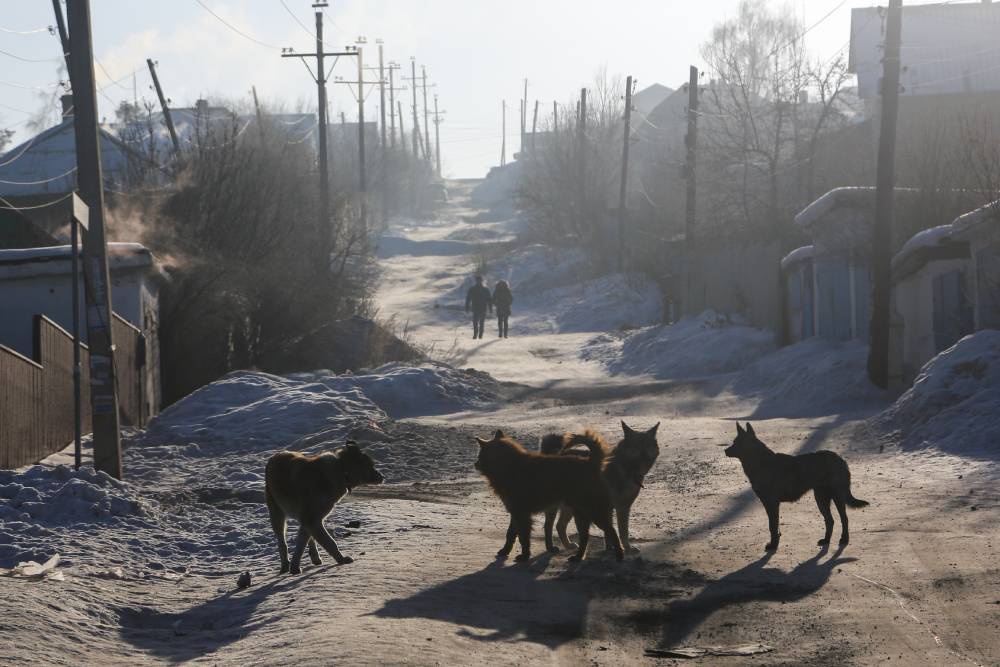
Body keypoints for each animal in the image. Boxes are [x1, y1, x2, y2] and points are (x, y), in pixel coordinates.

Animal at [264, 444, 384, 576]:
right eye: (370, 465)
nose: (383, 477)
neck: (341, 470)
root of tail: (275, 456)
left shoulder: (311, 520)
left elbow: (302, 544)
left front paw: (295, 567)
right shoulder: (311, 519)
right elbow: (330, 542)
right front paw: (342, 559)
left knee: (307, 537)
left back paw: (314, 558)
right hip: (277, 514)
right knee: (282, 542)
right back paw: (285, 565)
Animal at [720, 426, 868, 552]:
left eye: (737, 443)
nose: (725, 451)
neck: (760, 462)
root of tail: (841, 459)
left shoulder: (772, 503)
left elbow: (772, 526)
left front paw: (773, 545)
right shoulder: (770, 504)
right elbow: (773, 526)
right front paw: (775, 542)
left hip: (837, 496)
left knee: (844, 519)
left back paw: (844, 539)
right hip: (821, 499)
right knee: (830, 520)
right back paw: (826, 540)